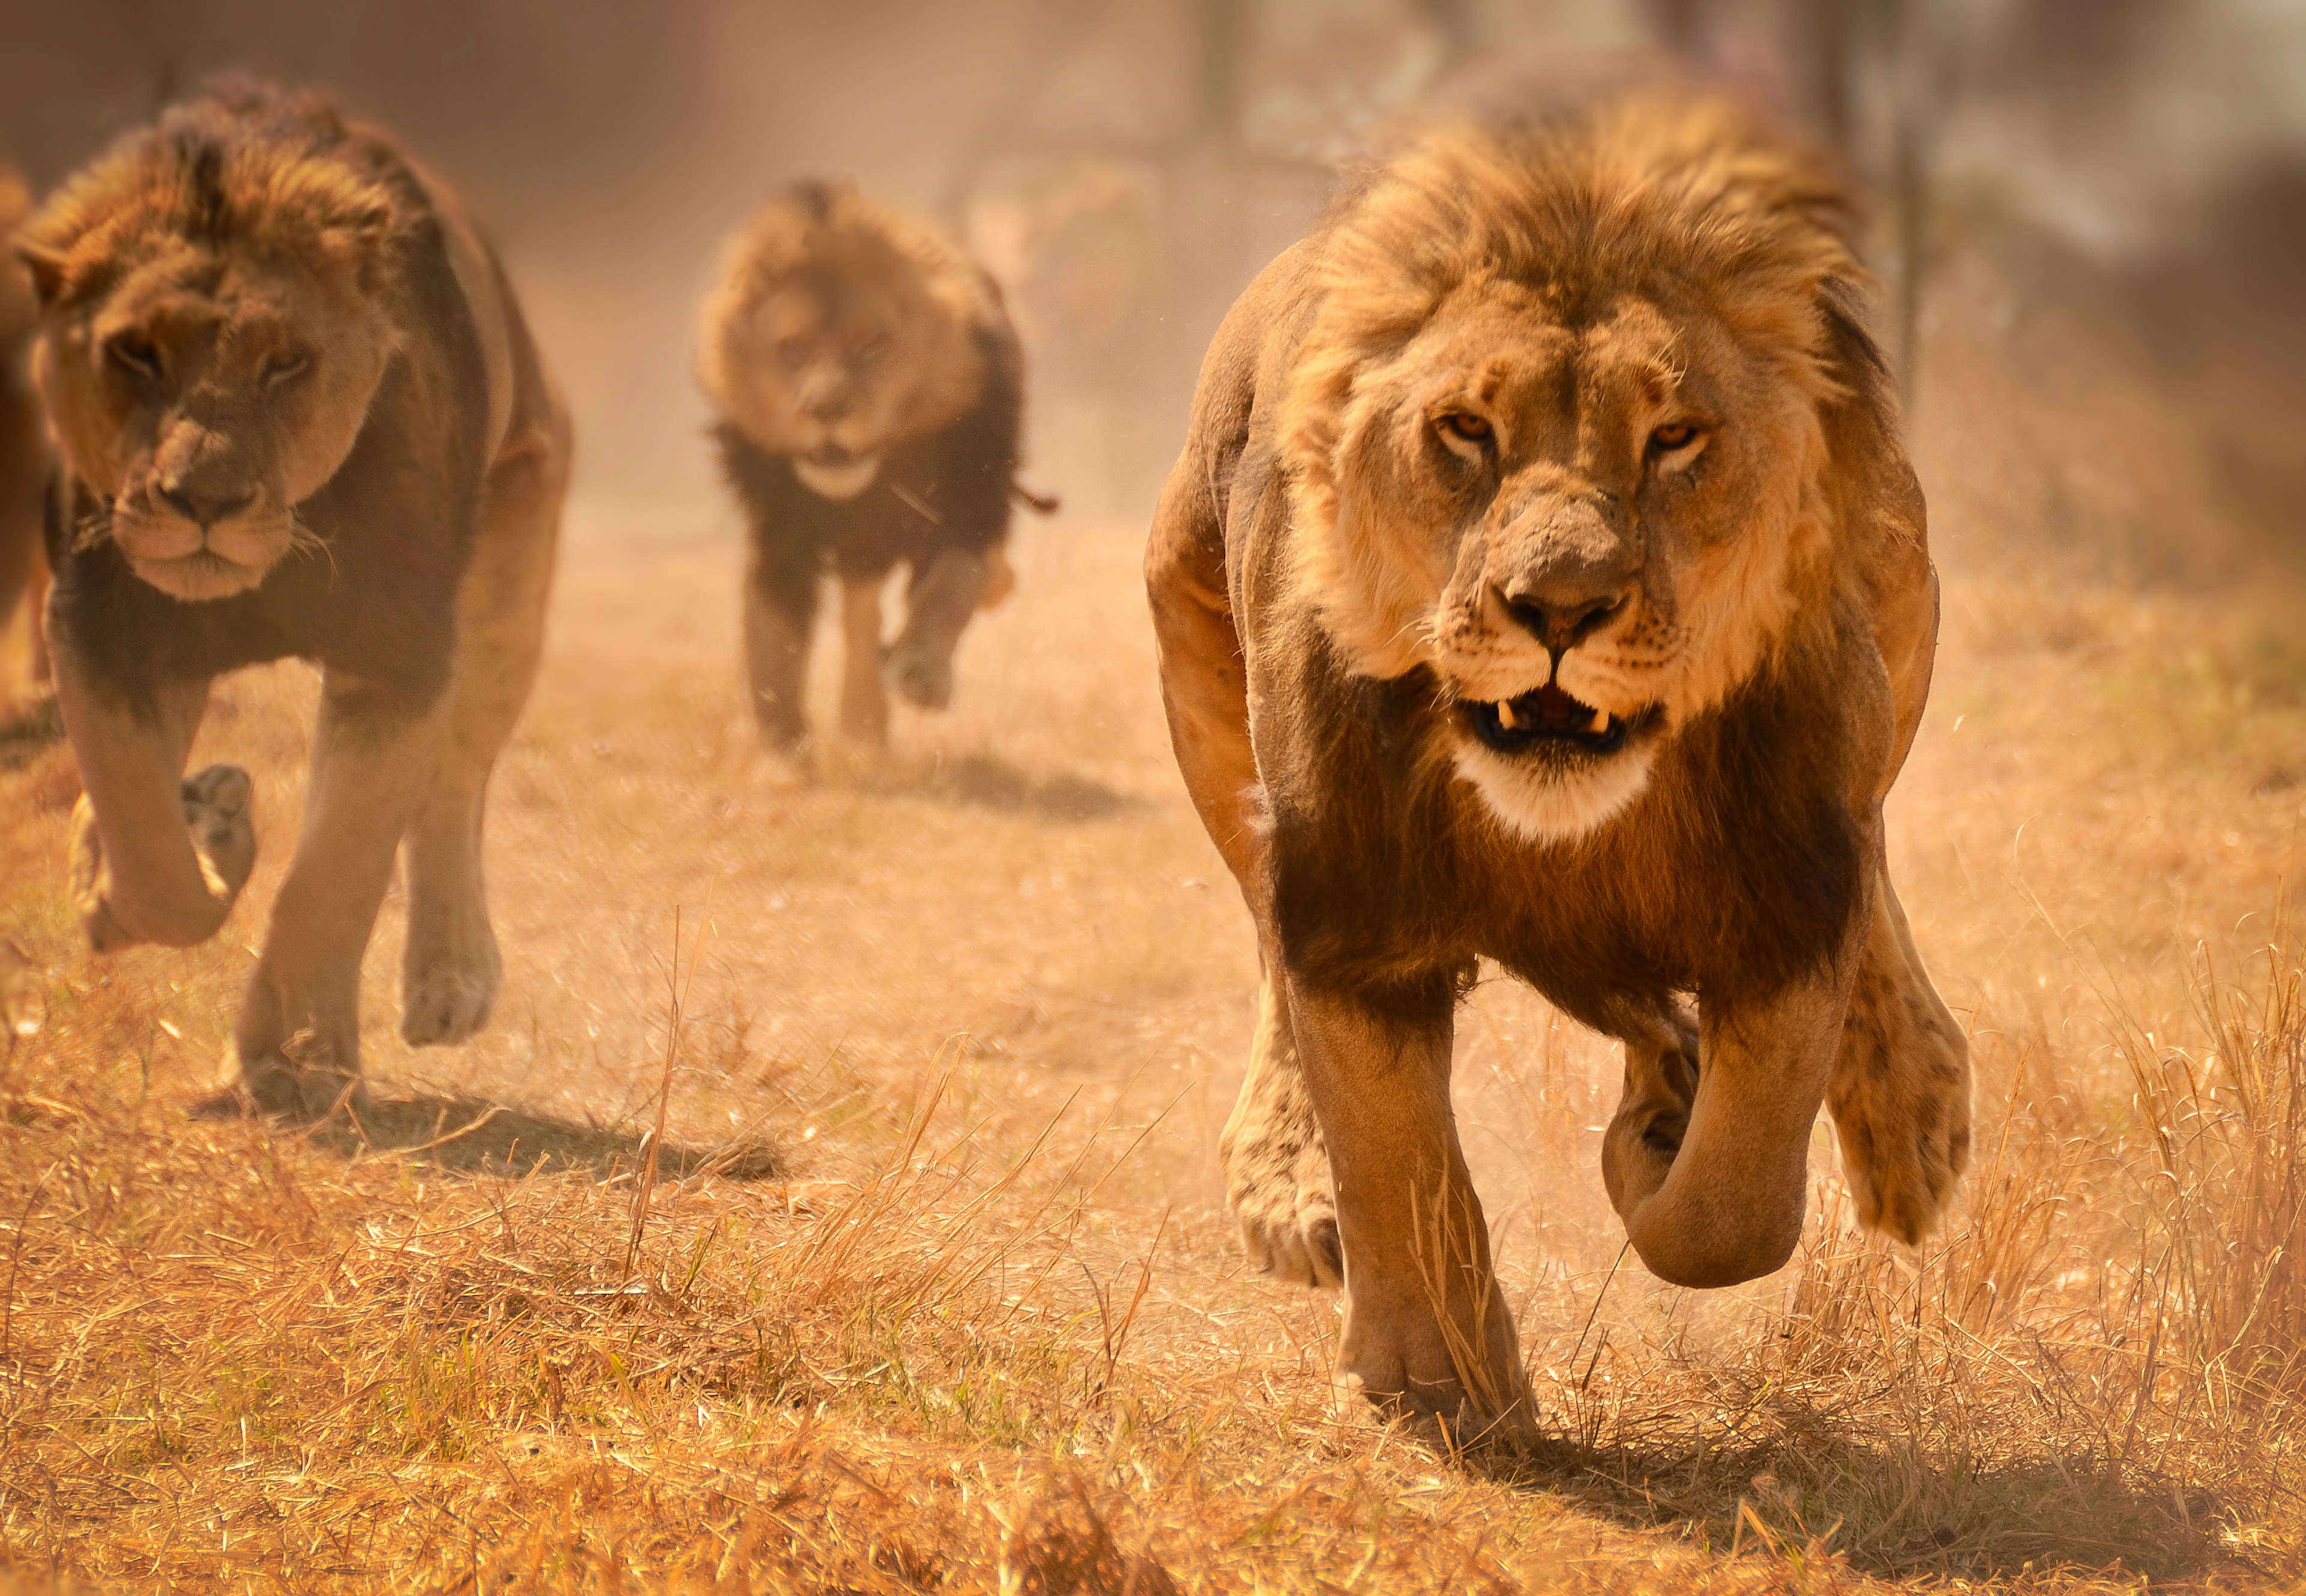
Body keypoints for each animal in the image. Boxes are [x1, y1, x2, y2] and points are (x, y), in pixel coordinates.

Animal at [696, 181, 1052, 756]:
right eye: (791, 349)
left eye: (871, 346)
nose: (826, 410)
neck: (868, 486)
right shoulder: (779, 533)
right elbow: (772, 643)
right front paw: (782, 749)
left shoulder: (967, 503)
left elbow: (950, 587)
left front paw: (922, 673)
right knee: (861, 616)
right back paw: (862, 724)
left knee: (984, 582)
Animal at [1143, 93, 1974, 1430]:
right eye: (1465, 431)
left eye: (1675, 437)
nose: (1560, 607)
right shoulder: (1347, 902)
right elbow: (1393, 1148)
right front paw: (1434, 1379)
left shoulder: (1794, 889)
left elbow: (1734, 1208)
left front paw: (1657, 1147)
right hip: (1196, 668)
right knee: (1268, 955)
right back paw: (1295, 1187)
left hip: (1901, 606)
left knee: (1876, 860)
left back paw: (1904, 1112)